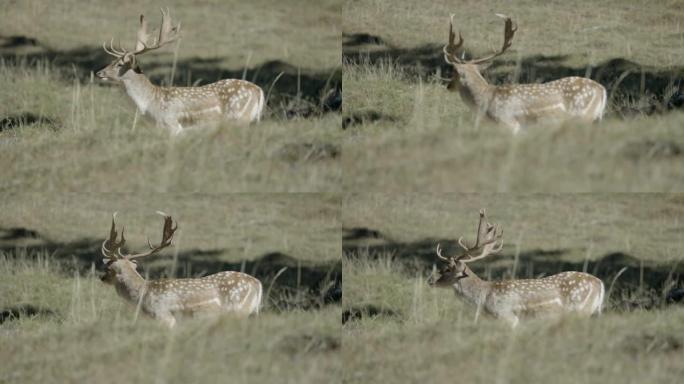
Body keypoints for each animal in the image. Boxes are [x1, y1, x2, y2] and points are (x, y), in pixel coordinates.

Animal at [95, 8, 264, 136]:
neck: (150, 106)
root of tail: (259, 91)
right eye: (112, 61)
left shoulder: (173, 126)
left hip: (239, 118)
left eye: (119, 64)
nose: (99, 73)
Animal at [100, 212, 264, 328]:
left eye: (108, 268)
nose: (101, 278)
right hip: (252, 313)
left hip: (239, 310)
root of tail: (258, 283)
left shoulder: (165, 317)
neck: (142, 297)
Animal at [430, 210, 608, 328]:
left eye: (447, 269)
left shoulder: (508, 317)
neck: (484, 299)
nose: (430, 280)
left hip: (581, 310)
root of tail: (600, 283)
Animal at [444, 14, 608, 134]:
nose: (448, 86)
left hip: (584, 117)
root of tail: (602, 90)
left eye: (454, 72)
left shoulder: (509, 124)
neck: (486, 102)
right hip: (596, 119)